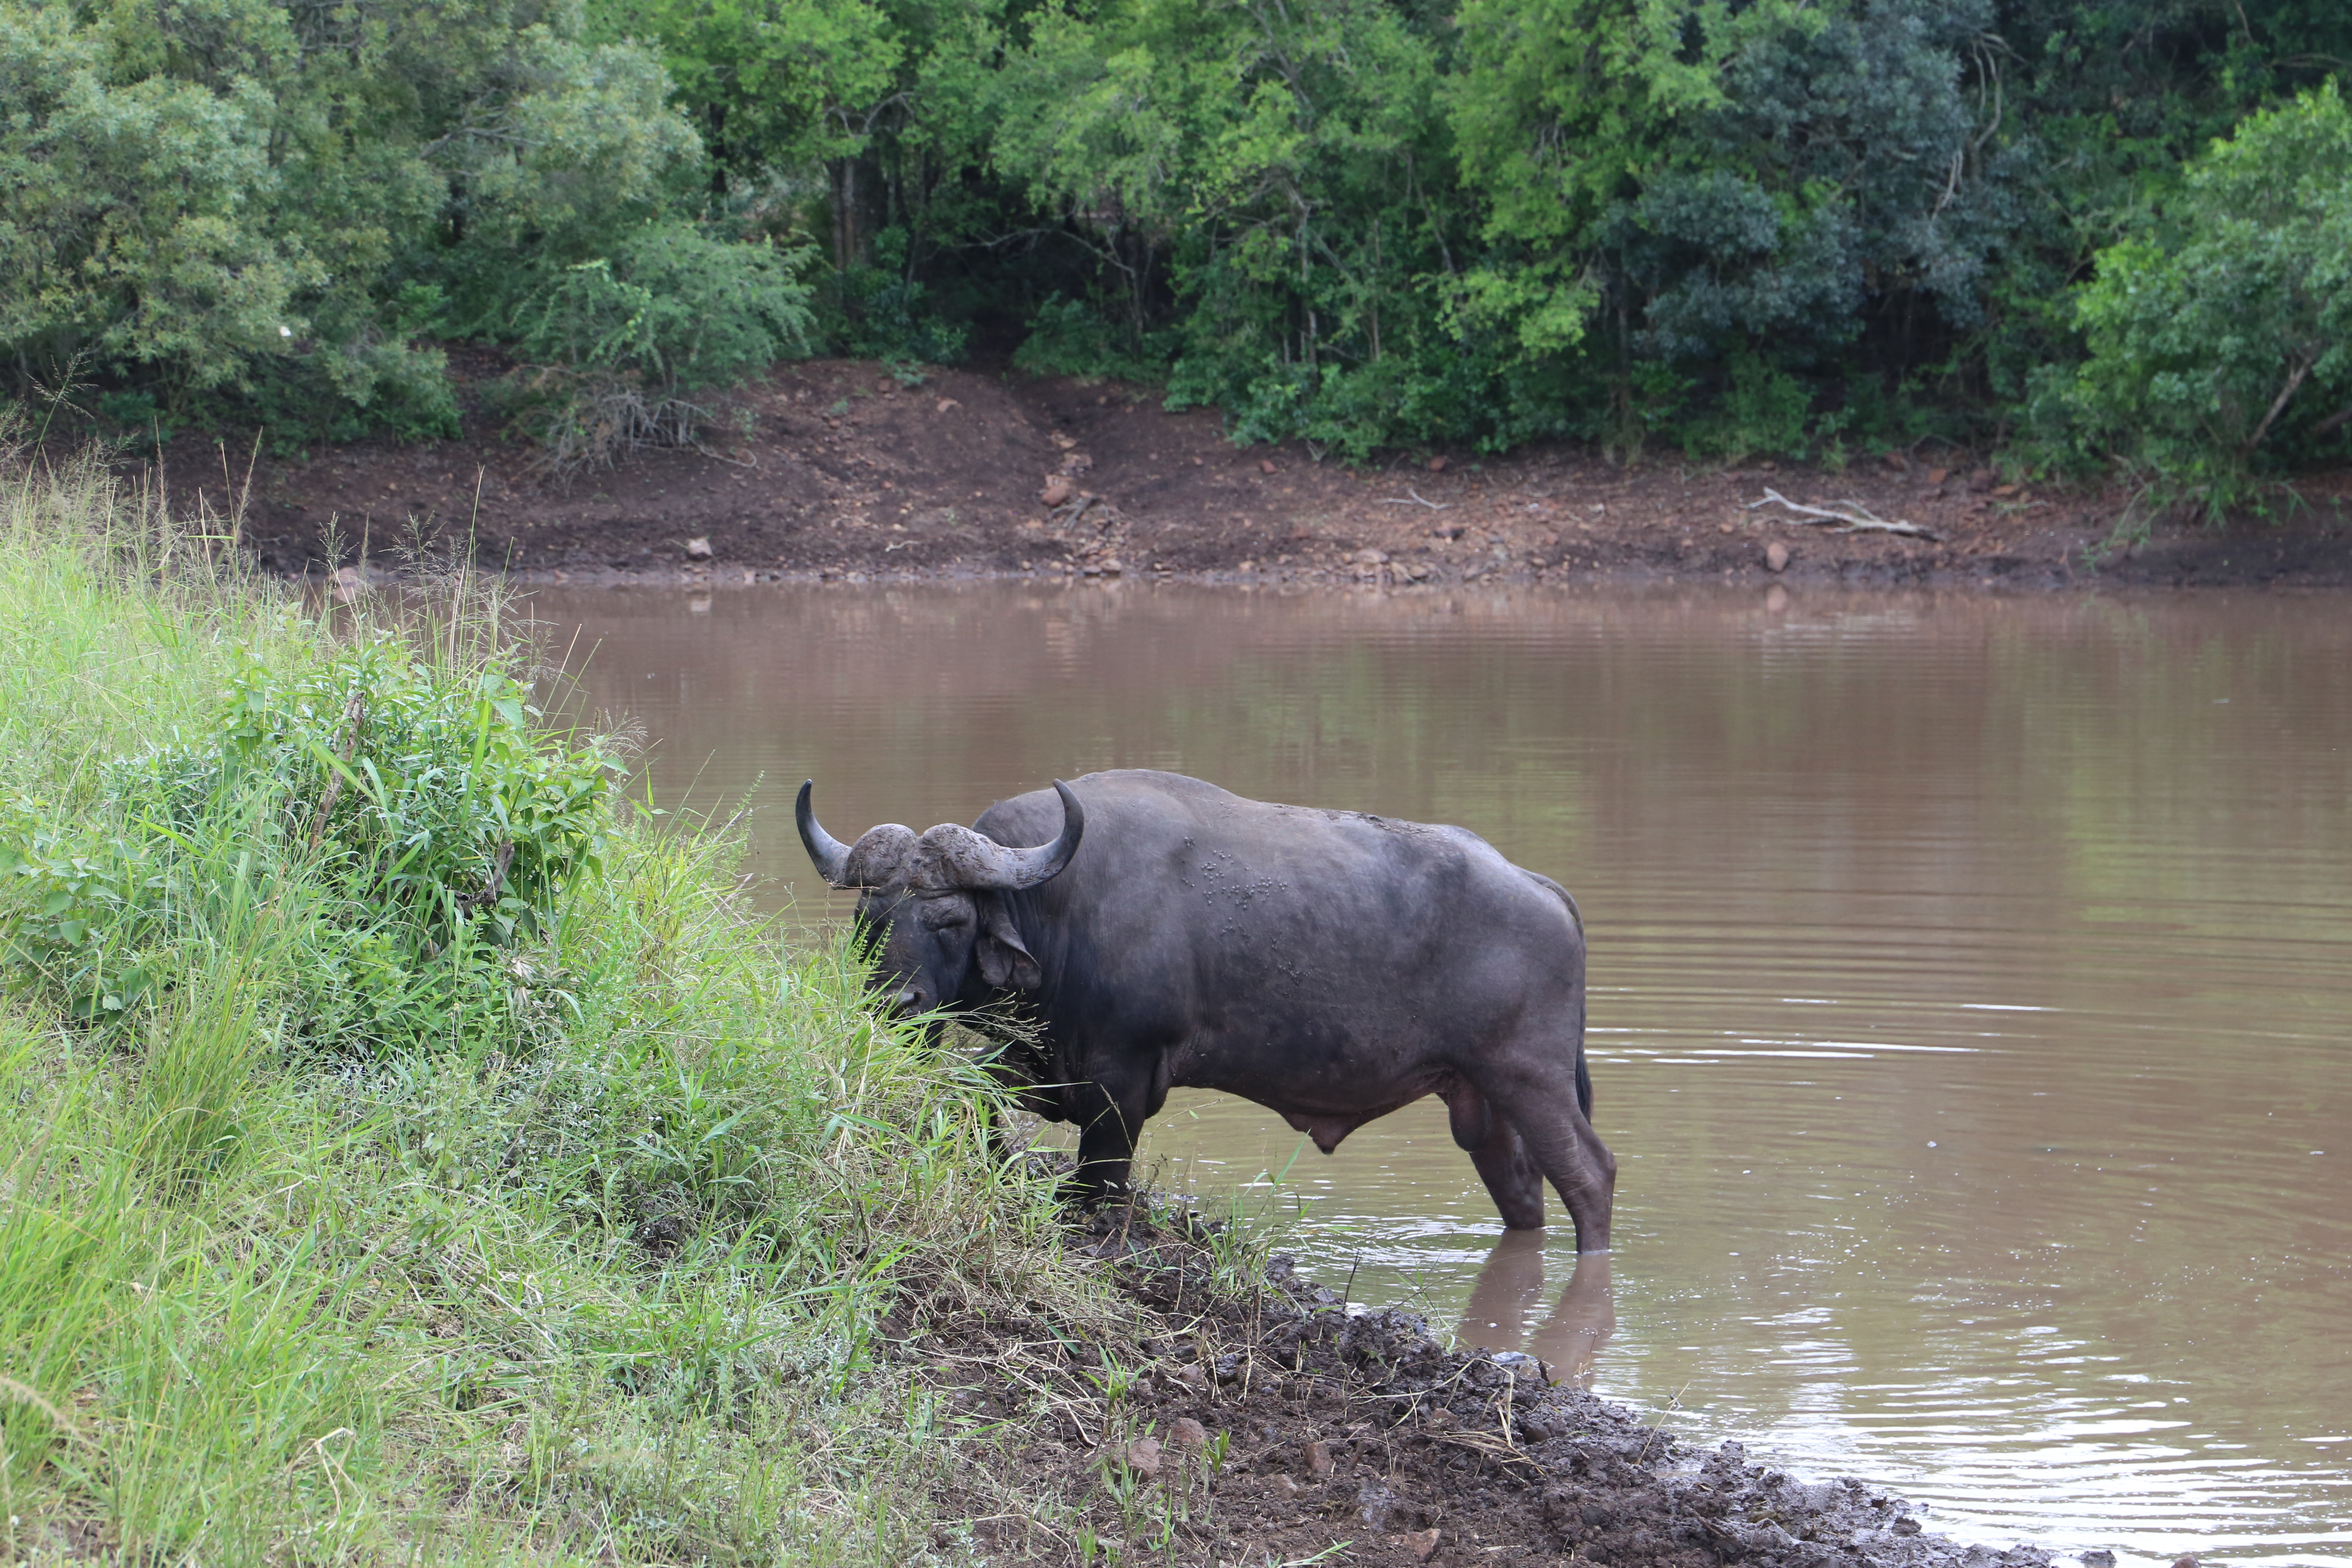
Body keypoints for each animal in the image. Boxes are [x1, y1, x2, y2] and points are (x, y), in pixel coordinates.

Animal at [797, 769, 1614, 1252]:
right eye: (871, 917)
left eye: (950, 919)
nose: (896, 1002)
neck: (1062, 909)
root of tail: (1540, 887)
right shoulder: (1024, 1062)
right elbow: (976, 1103)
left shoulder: (1120, 1084)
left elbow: (1098, 1183)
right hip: (1480, 1099)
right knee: (1521, 1192)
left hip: (1531, 1080)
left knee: (1590, 1177)